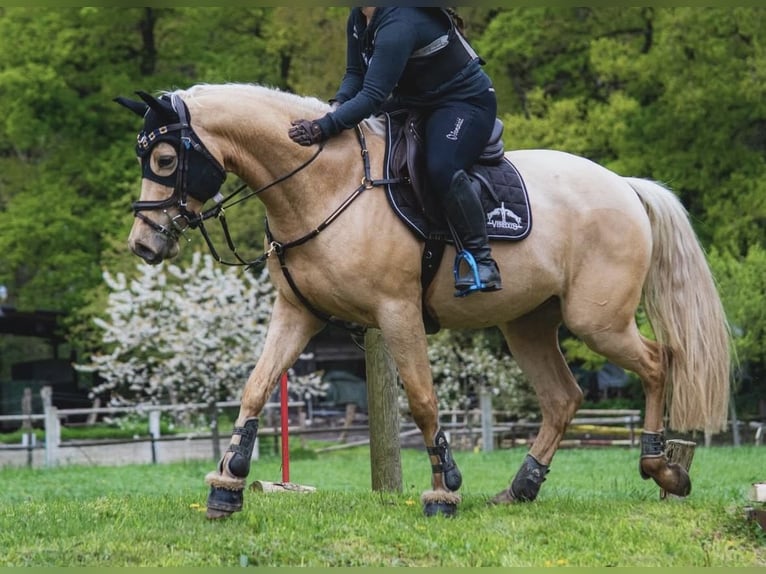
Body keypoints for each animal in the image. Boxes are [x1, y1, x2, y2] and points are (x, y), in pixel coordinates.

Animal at [115, 83, 731, 519]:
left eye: (164, 161)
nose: (143, 245)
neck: (323, 186)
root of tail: (624, 185)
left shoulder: (397, 312)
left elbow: (422, 400)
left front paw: (443, 490)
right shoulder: (298, 313)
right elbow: (256, 386)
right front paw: (228, 484)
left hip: (598, 321)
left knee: (659, 363)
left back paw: (662, 466)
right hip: (528, 324)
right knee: (563, 397)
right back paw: (521, 488)